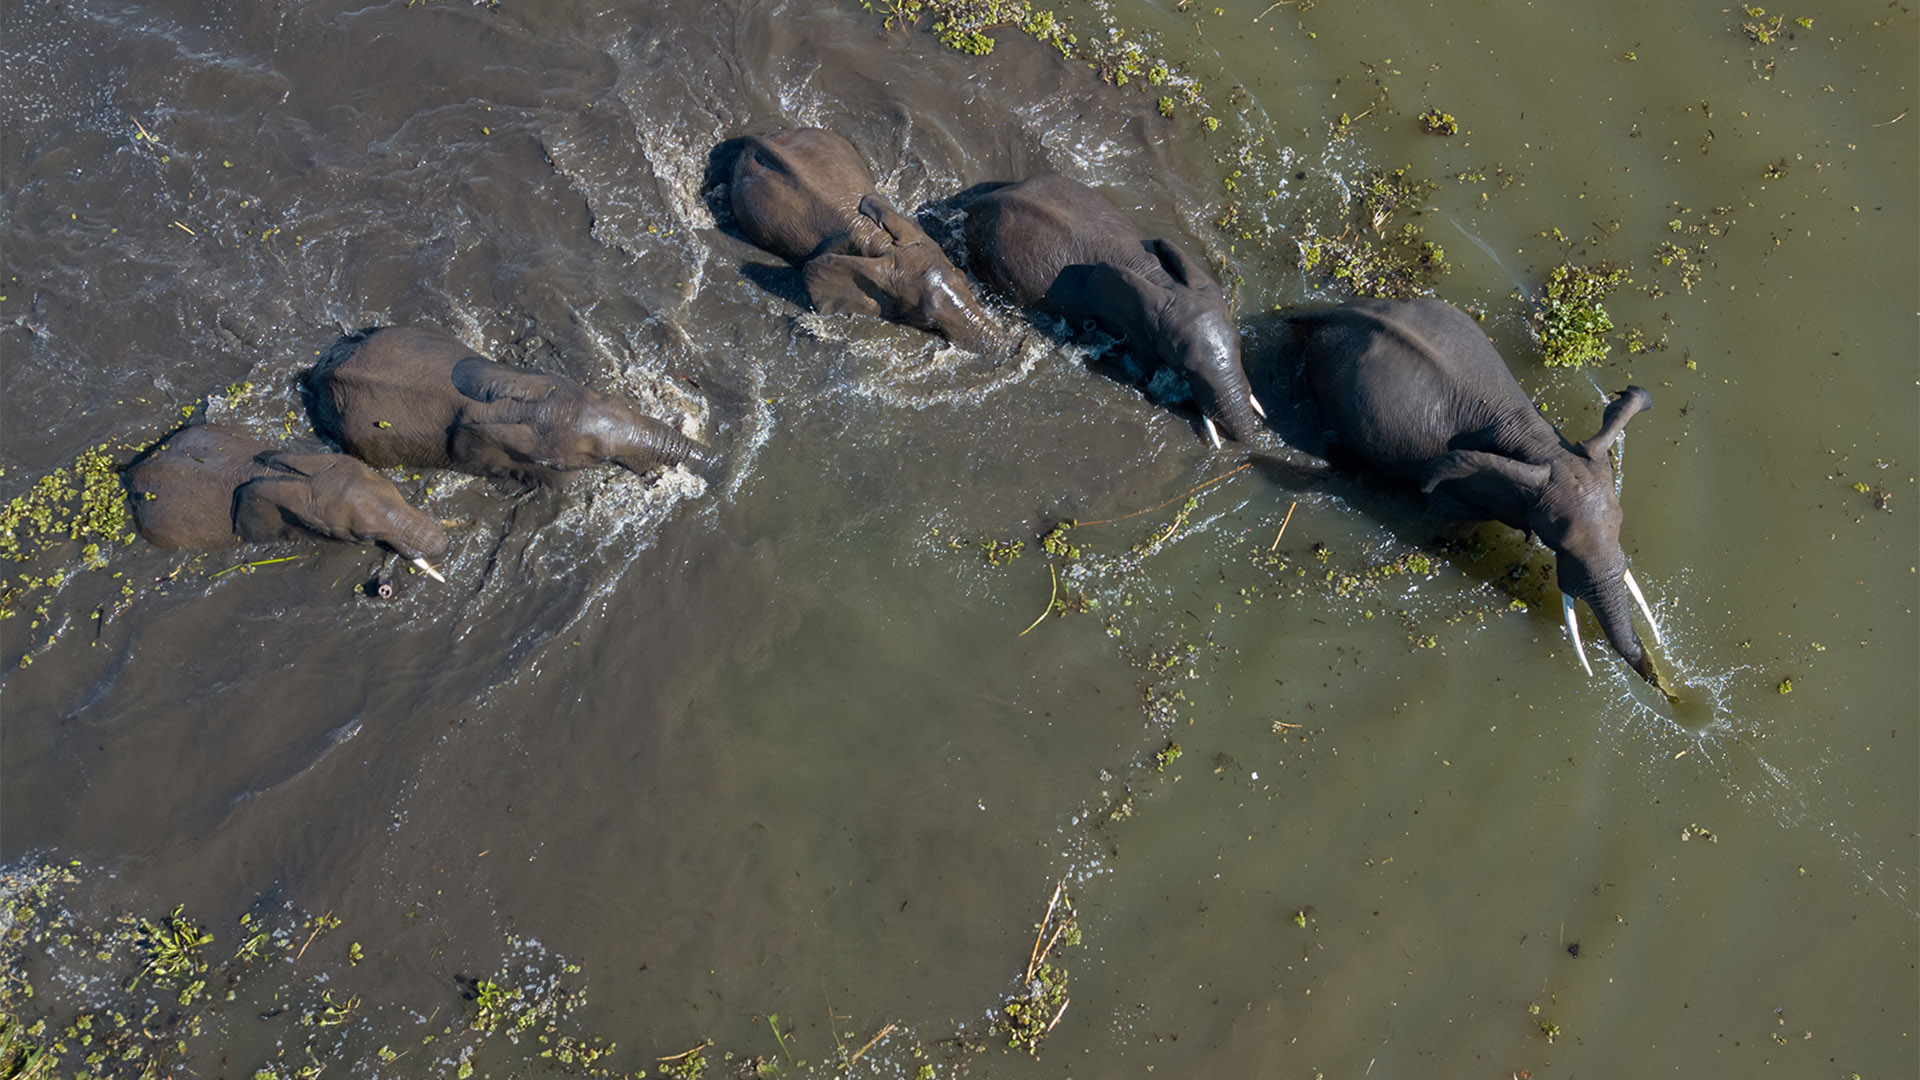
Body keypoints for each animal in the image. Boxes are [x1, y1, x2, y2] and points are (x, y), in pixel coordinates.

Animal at [1290, 294, 1666, 680]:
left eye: (1620, 524)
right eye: (1559, 545)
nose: (1661, 683)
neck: (1540, 445)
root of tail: (1324, 312)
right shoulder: (1456, 493)